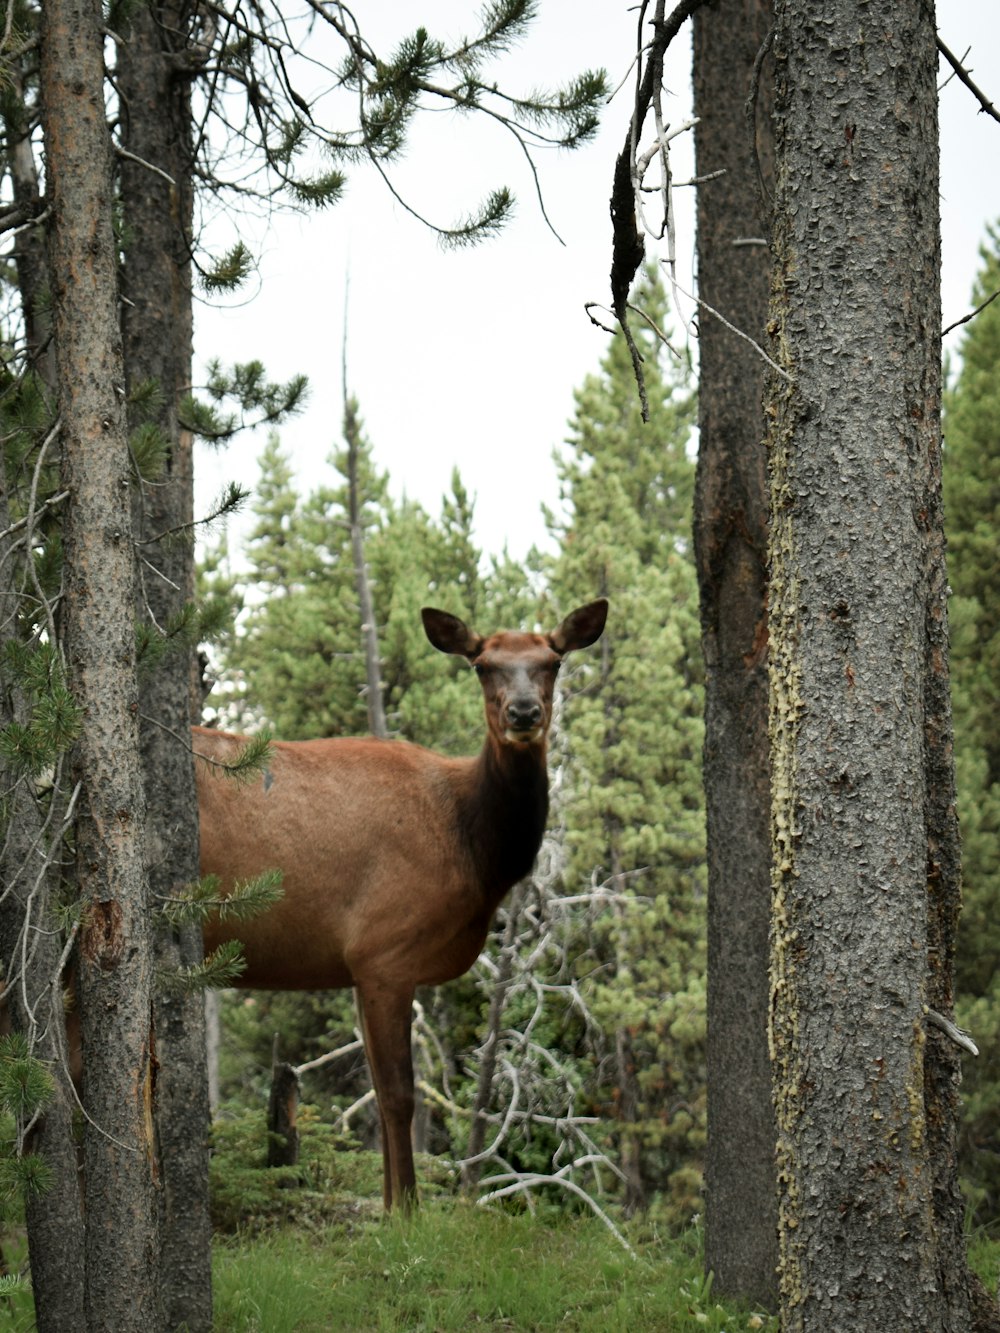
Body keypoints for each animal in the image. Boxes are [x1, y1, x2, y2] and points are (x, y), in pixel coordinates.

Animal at [192, 602, 608, 1210]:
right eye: (482, 665)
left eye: (552, 661)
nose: (524, 712)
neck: (474, 847)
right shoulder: (384, 951)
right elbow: (398, 1096)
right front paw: (406, 1211)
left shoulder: (361, 967)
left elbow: (379, 1086)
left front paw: (390, 1205)